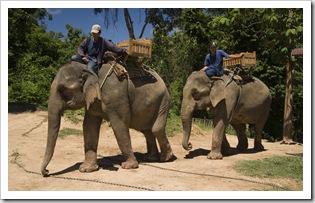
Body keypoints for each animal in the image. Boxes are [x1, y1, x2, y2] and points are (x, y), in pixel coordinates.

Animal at [40, 56, 174, 176]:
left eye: (62, 90)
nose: (47, 172)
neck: (89, 69)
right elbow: (89, 125)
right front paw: (86, 169)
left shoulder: (116, 97)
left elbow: (119, 125)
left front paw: (128, 166)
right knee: (146, 130)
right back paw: (151, 158)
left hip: (164, 100)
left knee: (156, 129)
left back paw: (165, 158)